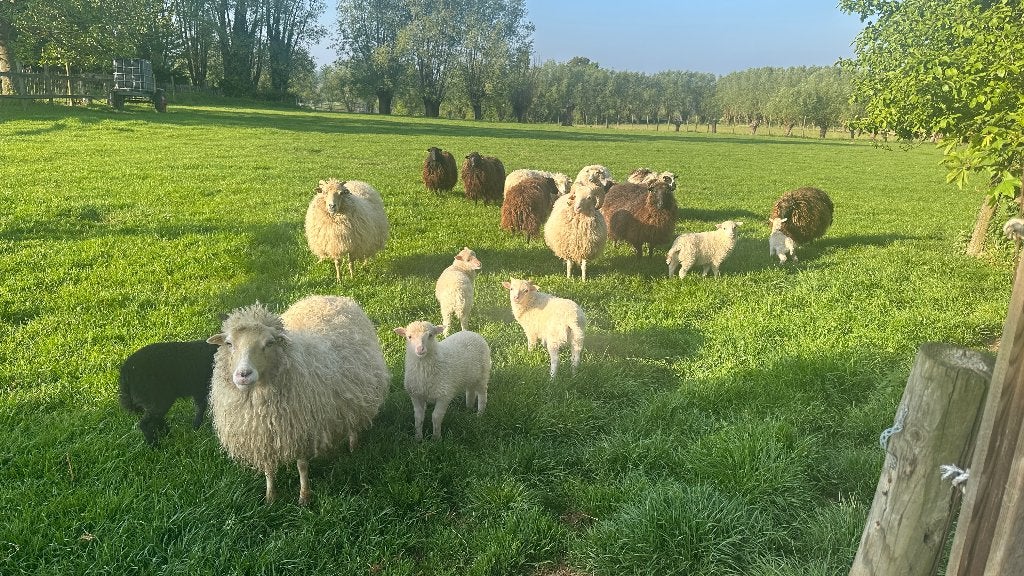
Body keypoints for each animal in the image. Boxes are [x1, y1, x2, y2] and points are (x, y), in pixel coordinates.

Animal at [207, 295, 389, 505]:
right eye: (229, 344)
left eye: (269, 343)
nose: (243, 374)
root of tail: (332, 297)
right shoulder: (263, 436)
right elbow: (268, 468)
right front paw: (270, 497)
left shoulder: (302, 428)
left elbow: (302, 466)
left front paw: (304, 497)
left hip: (359, 391)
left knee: (354, 421)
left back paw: (353, 446)